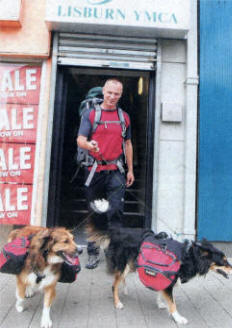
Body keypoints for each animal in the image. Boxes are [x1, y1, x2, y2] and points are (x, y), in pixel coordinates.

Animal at [88, 199, 232, 324]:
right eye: (224, 261)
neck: (188, 256)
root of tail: (117, 231)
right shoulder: (168, 280)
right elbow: (173, 303)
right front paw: (178, 318)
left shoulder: (162, 277)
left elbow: (160, 292)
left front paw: (160, 303)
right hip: (122, 263)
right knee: (114, 284)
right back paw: (117, 303)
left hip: (131, 264)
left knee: (121, 278)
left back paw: (125, 289)